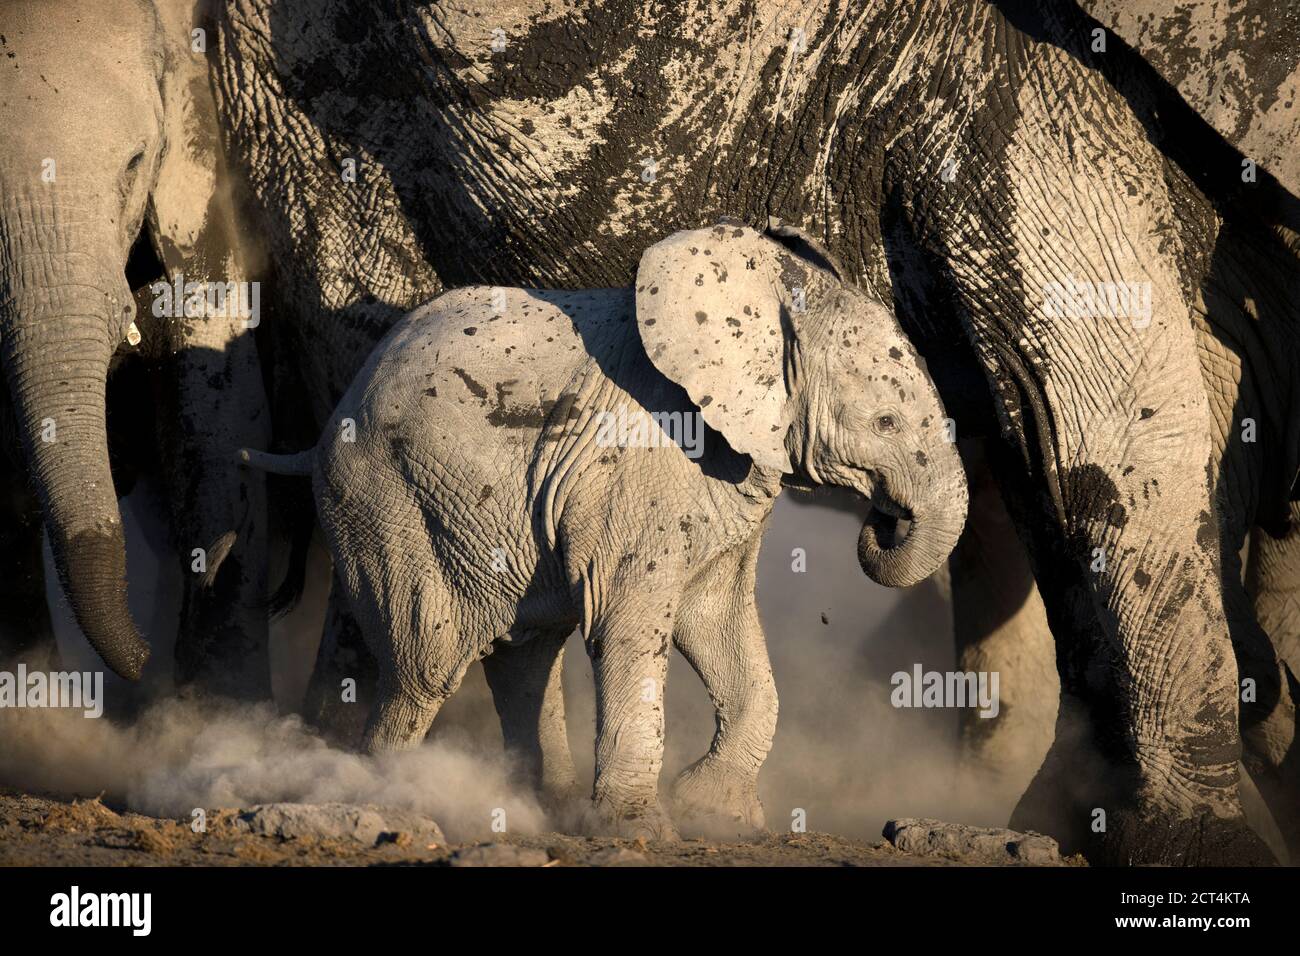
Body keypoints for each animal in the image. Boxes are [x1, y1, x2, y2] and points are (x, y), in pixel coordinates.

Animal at [239, 221, 967, 832]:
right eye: (886, 423)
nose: (882, 525)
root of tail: (325, 426)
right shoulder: (642, 457)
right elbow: (629, 617)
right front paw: (638, 828)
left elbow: (718, 619)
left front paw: (717, 814)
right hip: (386, 498)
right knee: (427, 663)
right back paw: (396, 795)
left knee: (523, 654)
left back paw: (542, 807)